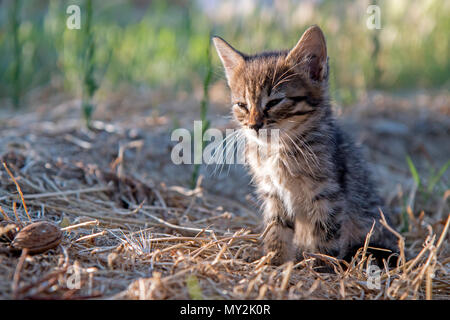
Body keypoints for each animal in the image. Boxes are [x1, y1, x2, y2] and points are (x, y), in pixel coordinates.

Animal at [214, 25, 398, 266]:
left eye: (274, 102)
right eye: (242, 105)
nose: (254, 125)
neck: (278, 148)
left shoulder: (327, 193)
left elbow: (325, 234)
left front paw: (322, 266)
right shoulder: (273, 194)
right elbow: (276, 230)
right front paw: (275, 262)